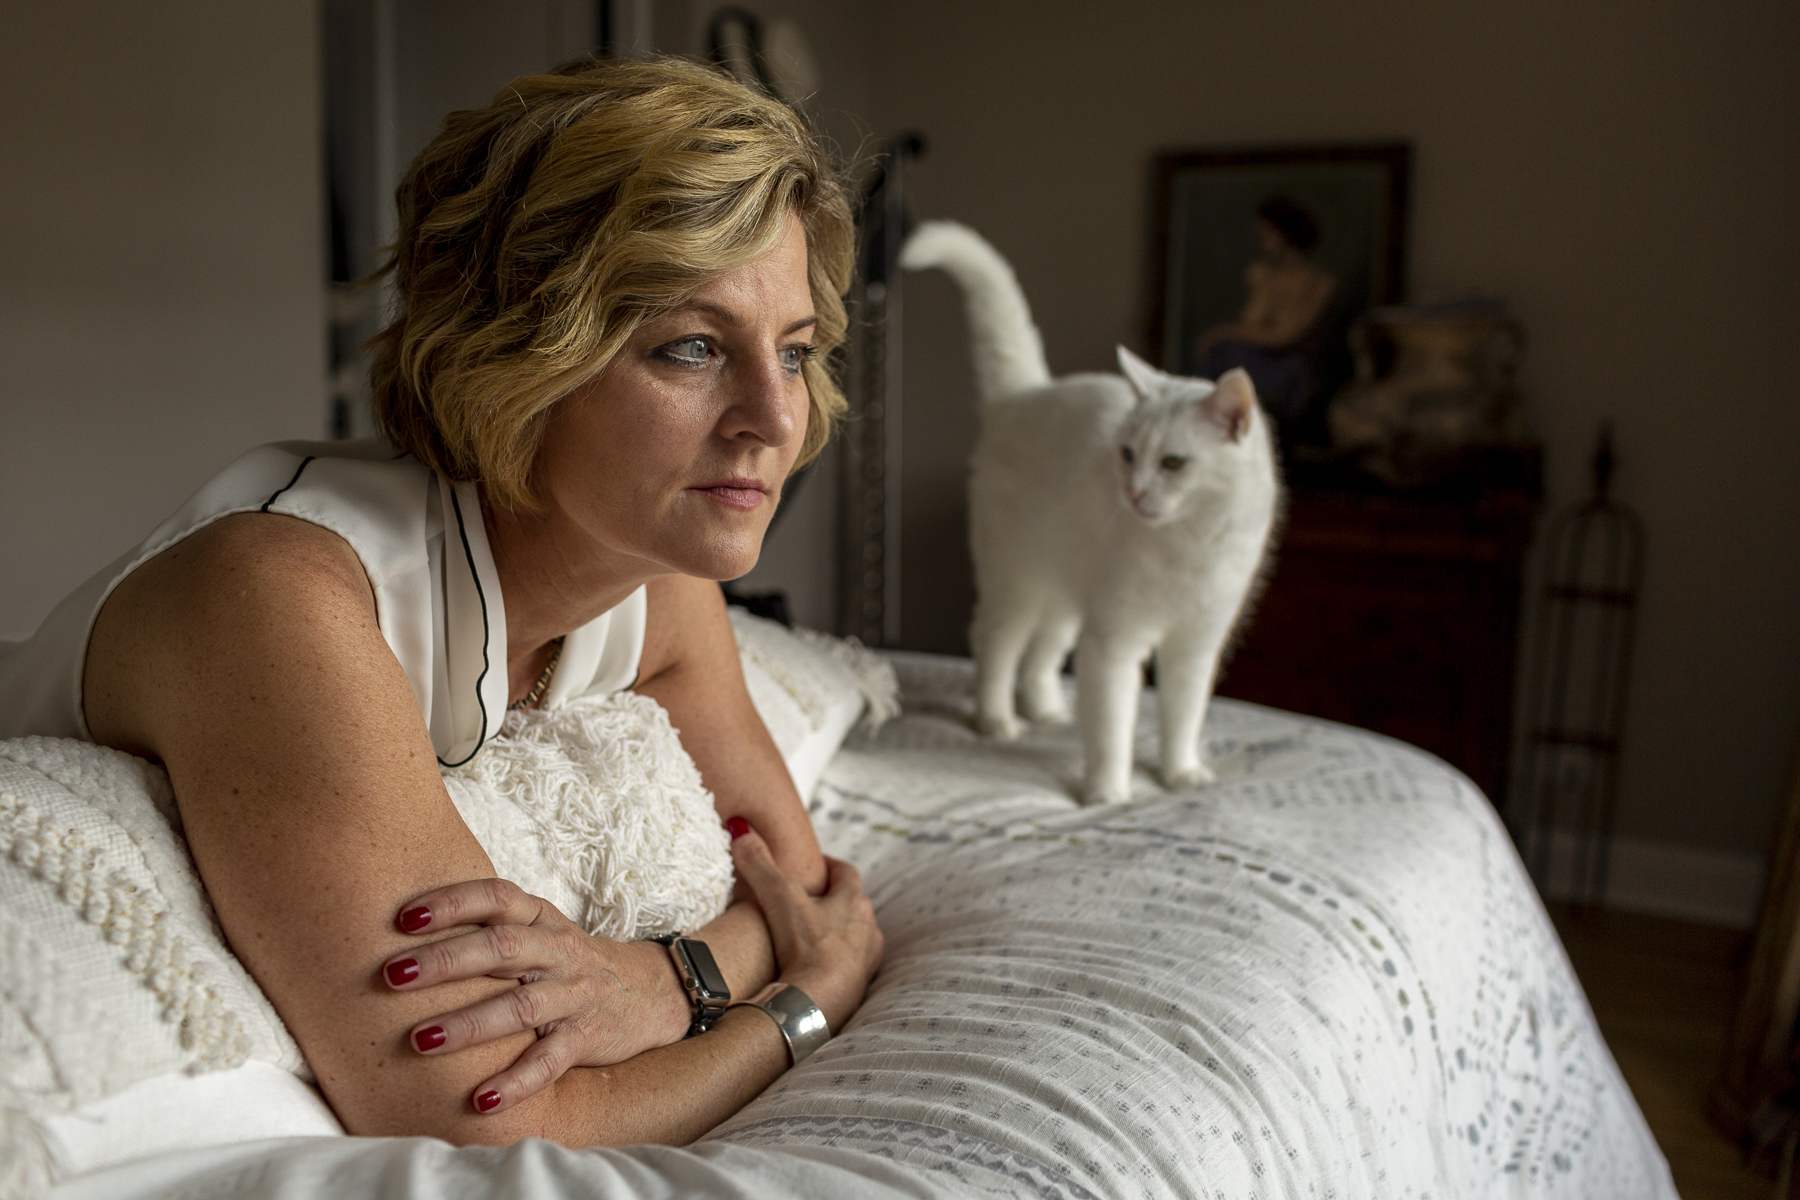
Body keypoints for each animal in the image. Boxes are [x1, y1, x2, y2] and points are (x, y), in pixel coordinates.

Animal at [900, 224, 1281, 805]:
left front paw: (1180, 773)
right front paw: (1107, 793)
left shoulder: (1195, 646)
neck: (1188, 546)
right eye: (1126, 454)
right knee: (995, 645)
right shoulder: (1114, 643)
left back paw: (1047, 711)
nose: (1133, 491)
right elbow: (1110, 727)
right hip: (1017, 582)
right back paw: (998, 721)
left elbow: (1183, 716)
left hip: (1066, 596)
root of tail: (1025, 393)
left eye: (1173, 462)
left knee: (1041, 657)